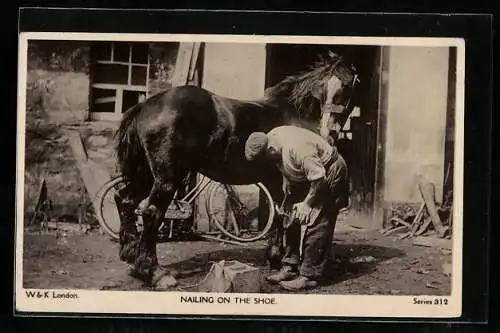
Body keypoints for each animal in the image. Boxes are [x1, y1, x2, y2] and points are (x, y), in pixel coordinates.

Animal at [112, 50, 360, 288]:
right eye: (322, 89)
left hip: (145, 175)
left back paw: (132, 257)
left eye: (347, 85)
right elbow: (286, 215)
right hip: (166, 178)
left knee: (125, 200)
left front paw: (275, 258)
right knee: (151, 212)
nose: (329, 132)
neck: (294, 113)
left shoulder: (275, 181)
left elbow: (279, 212)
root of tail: (145, 106)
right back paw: (155, 272)